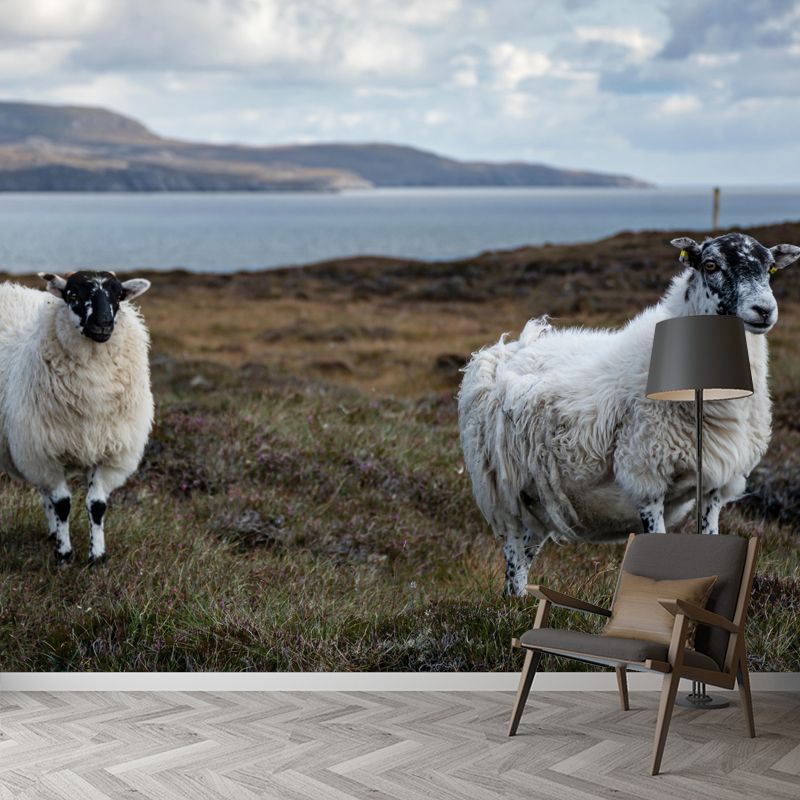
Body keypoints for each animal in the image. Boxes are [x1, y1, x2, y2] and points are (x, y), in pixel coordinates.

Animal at [0, 270, 153, 564]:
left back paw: (51, 533)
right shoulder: (46, 453)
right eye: (73, 295)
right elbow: (62, 504)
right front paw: (64, 555)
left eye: (118, 296)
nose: (103, 323)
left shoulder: (108, 453)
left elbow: (97, 505)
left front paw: (97, 556)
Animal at [458, 232, 800, 596]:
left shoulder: (715, 485)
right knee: (512, 552)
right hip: (502, 488)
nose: (764, 310)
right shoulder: (646, 476)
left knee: (526, 549)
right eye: (710, 265)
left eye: (771, 268)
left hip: (538, 496)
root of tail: (507, 348)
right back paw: (514, 602)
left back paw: (520, 602)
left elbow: (710, 539)